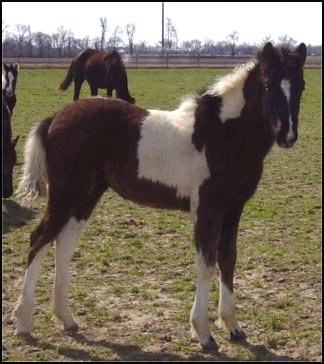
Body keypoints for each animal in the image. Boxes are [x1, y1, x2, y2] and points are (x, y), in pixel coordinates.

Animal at [12, 42, 306, 350]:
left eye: (301, 85)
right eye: (268, 85)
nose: (287, 136)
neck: (221, 135)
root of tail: (55, 118)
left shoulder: (233, 209)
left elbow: (228, 259)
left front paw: (232, 325)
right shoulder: (207, 210)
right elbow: (206, 264)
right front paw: (203, 333)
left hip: (86, 196)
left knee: (64, 243)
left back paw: (66, 319)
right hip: (65, 194)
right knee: (39, 240)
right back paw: (23, 323)